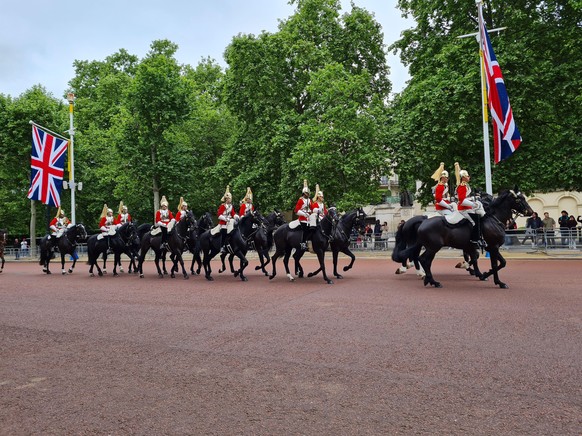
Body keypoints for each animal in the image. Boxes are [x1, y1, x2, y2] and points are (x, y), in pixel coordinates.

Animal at [402, 189, 532, 288]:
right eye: (519, 199)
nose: (530, 212)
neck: (494, 219)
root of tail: (423, 222)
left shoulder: (489, 248)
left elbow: (501, 262)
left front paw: (484, 274)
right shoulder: (493, 247)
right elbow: (495, 264)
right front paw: (497, 282)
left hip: (431, 247)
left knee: (423, 260)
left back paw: (427, 279)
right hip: (433, 247)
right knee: (423, 260)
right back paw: (432, 280)